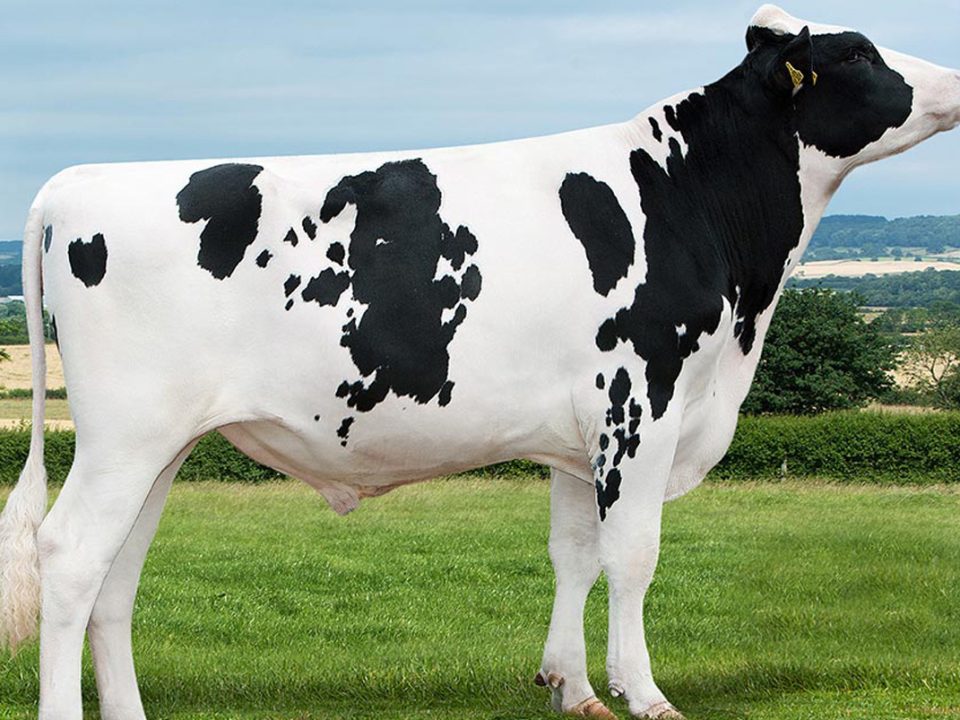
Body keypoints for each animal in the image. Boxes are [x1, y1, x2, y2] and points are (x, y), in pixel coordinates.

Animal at [1, 5, 958, 719]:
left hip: (159, 446)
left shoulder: (581, 434)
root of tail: (75, 183)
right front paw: (644, 692)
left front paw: (573, 687)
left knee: (117, 574)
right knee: (71, 554)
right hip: (125, 435)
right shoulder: (639, 406)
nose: (949, 82)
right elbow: (633, 555)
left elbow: (575, 554)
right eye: (858, 51)